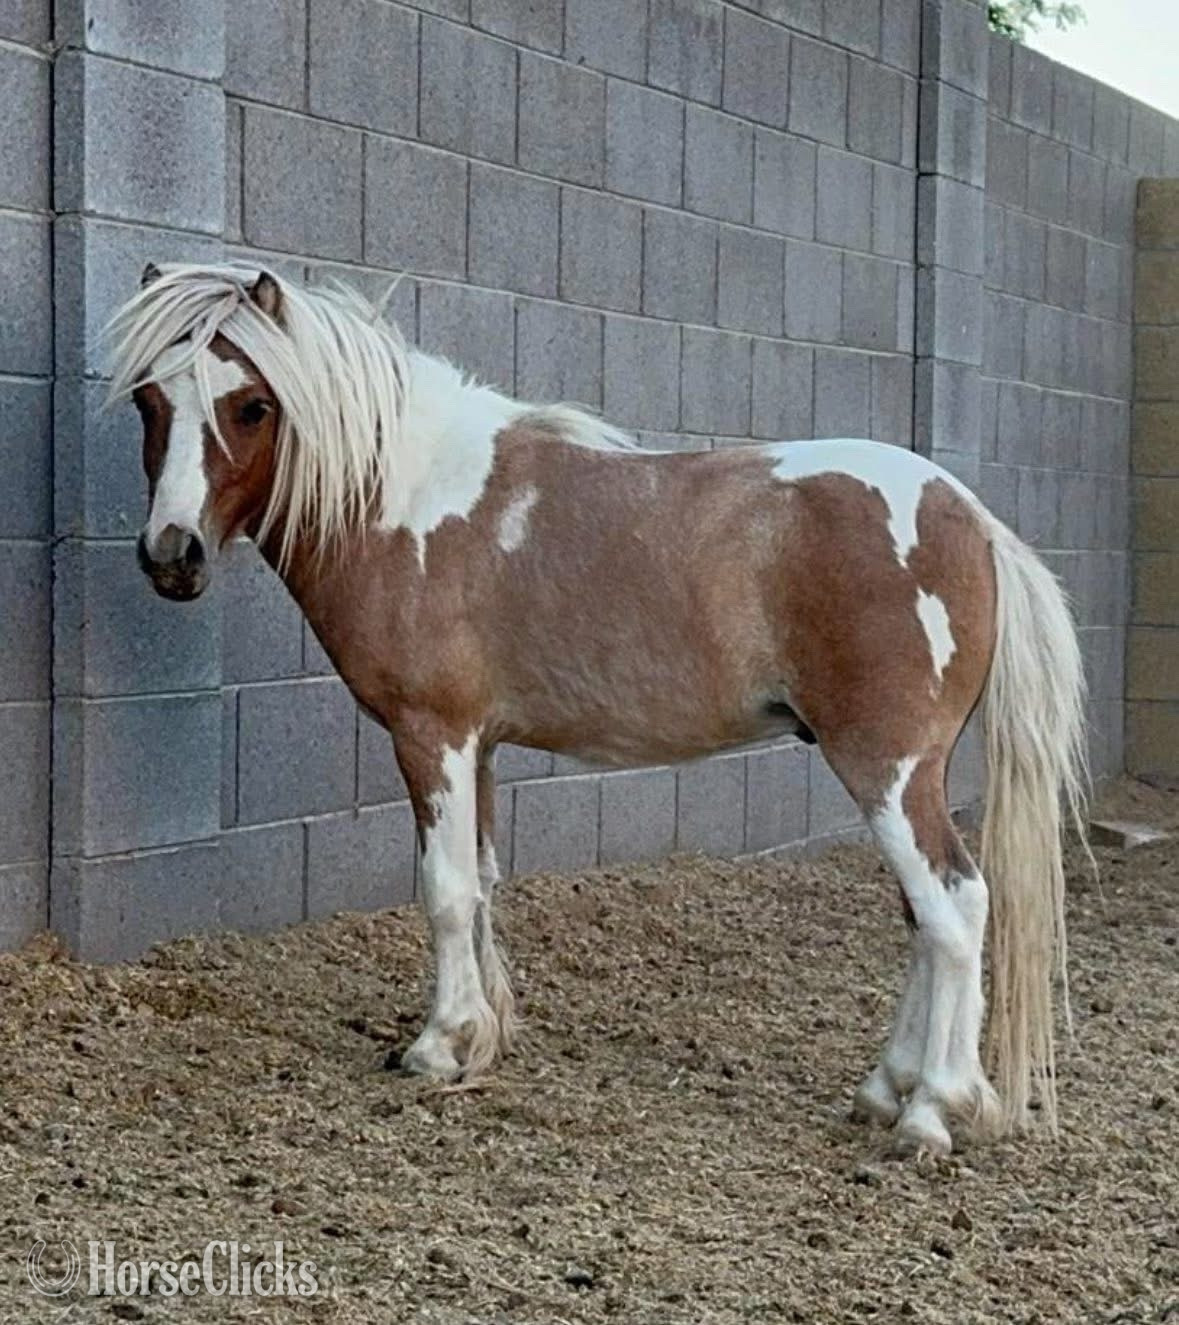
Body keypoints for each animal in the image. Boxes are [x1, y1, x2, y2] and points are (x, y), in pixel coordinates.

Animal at [106, 263, 1088, 1156]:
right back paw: (886, 1089)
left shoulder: (434, 736)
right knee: (924, 916)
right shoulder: (480, 746)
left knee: (954, 908)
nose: (171, 555)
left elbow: (446, 890)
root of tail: (971, 518)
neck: (406, 499)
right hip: (903, 777)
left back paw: (929, 1113)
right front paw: (482, 1037)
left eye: (250, 406)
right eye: (150, 400)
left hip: (885, 768)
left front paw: (436, 1045)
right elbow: (482, 880)